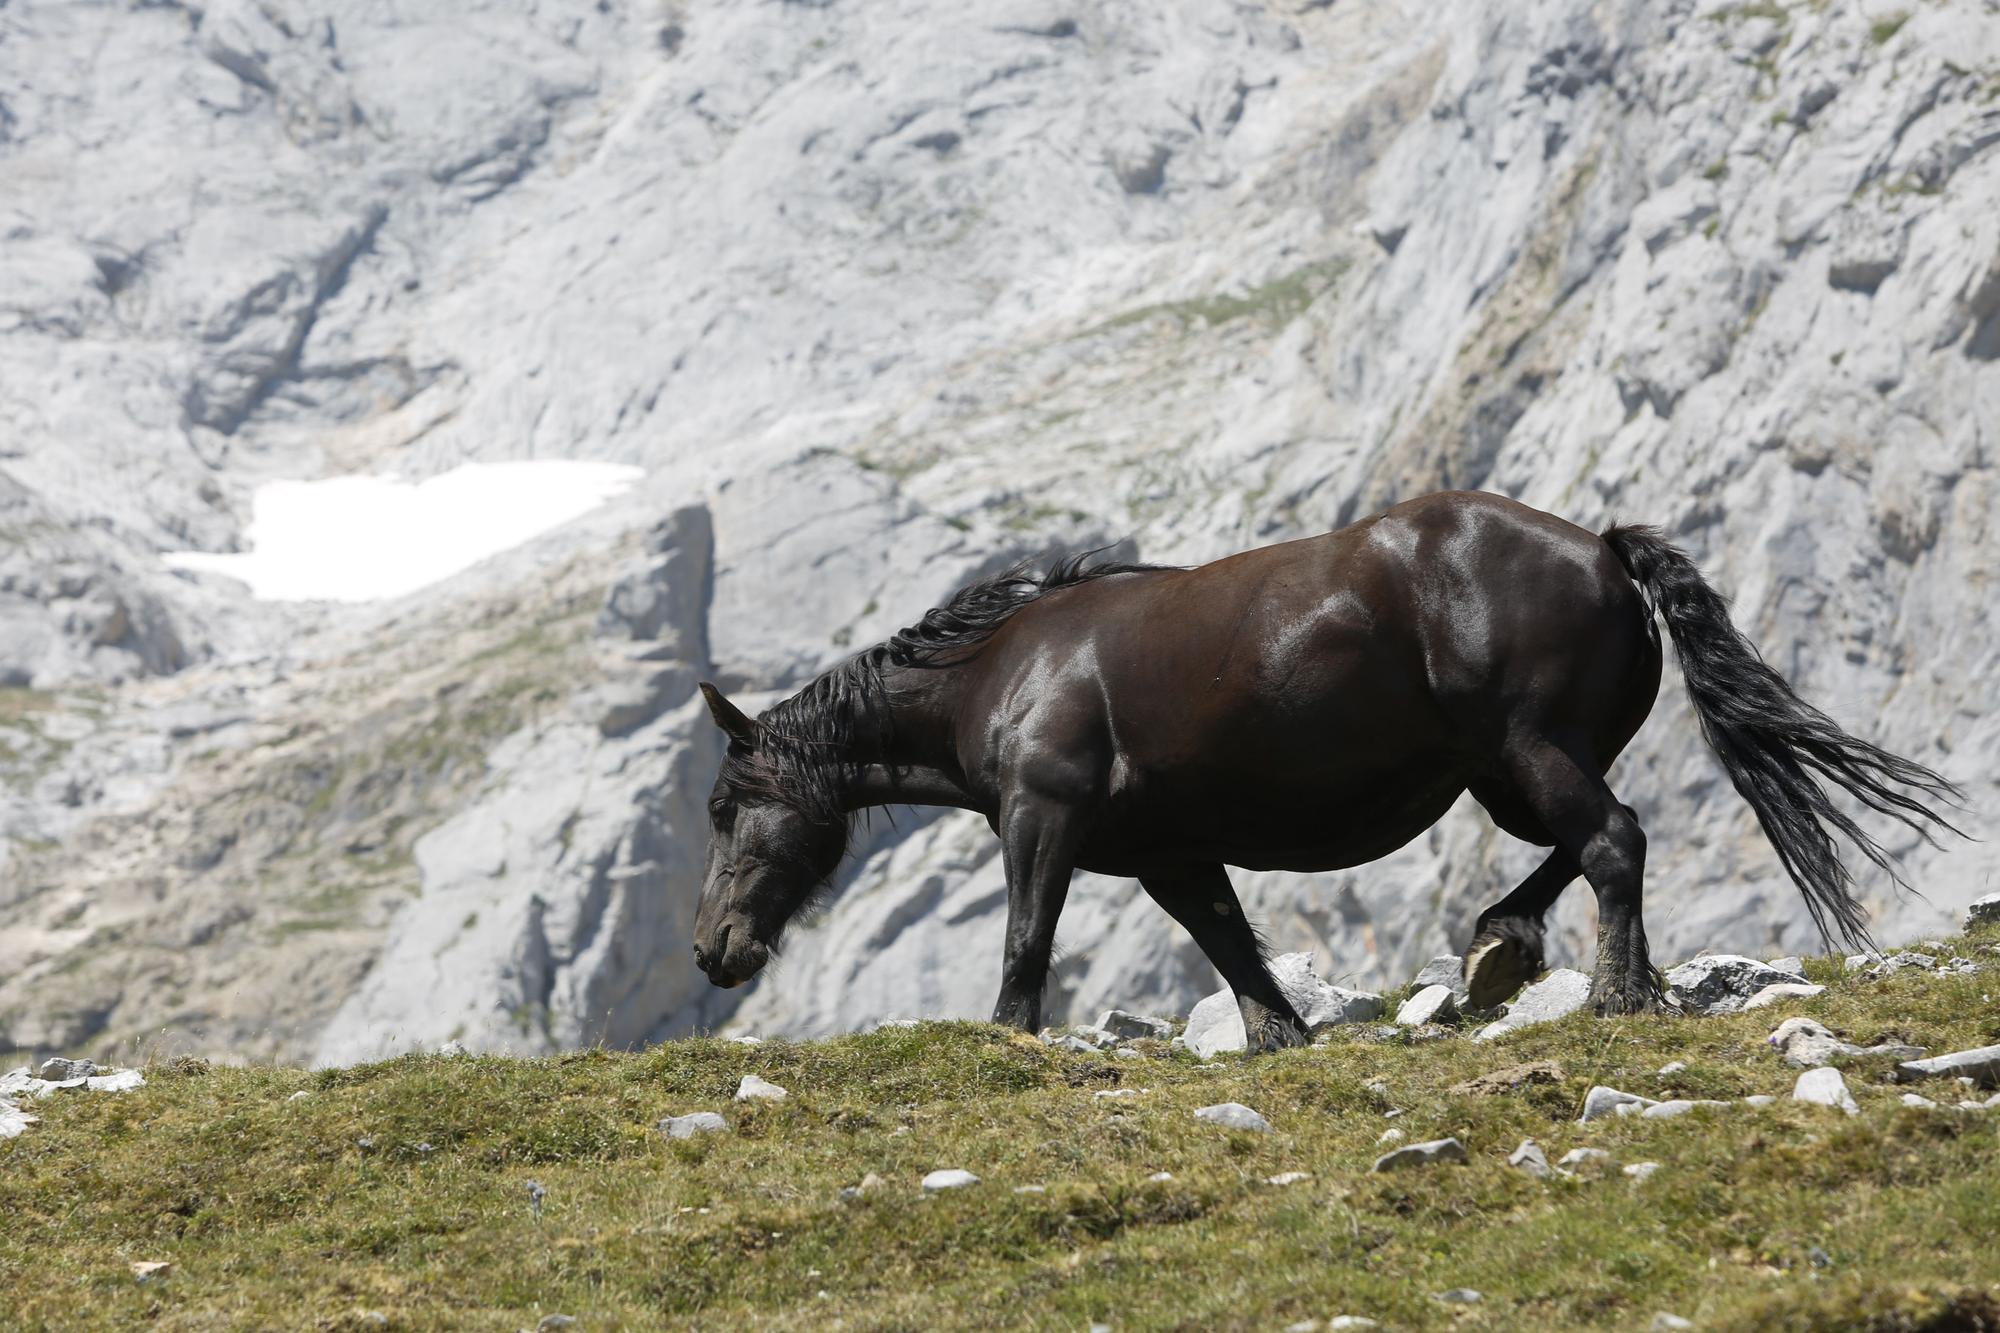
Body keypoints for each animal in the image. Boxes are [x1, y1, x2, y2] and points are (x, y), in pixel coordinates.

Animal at [688, 492, 1952, 1040]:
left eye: (722, 807)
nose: (712, 949)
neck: (1008, 664)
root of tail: (1597, 547)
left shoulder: (1039, 819)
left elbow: (1023, 945)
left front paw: (1007, 1045)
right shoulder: (1172, 857)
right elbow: (1240, 964)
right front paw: (1282, 1041)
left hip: (1527, 752)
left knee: (1611, 841)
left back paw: (1613, 992)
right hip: (1503, 773)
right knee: (1575, 849)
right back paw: (1498, 945)